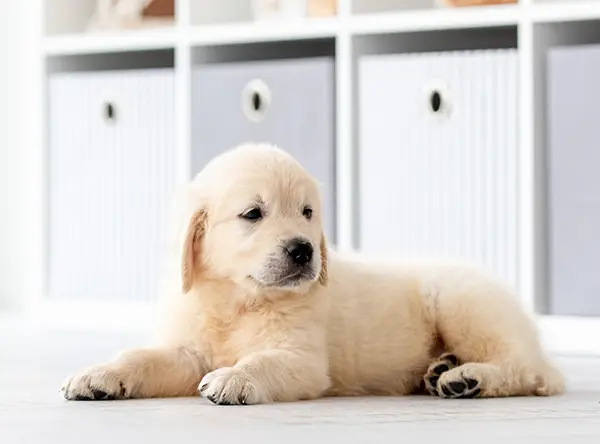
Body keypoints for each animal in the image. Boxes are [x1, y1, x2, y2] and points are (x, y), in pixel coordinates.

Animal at [63, 143, 564, 406]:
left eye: (307, 213)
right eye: (253, 214)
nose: (304, 250)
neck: (236, 301)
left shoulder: (301, 359)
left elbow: (263, 361)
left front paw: (235, 378)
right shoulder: (187, 350)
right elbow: (142, 357)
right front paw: (99, 375)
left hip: (463, 303)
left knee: (532, 370)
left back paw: (469, 378)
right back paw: (442, 369)